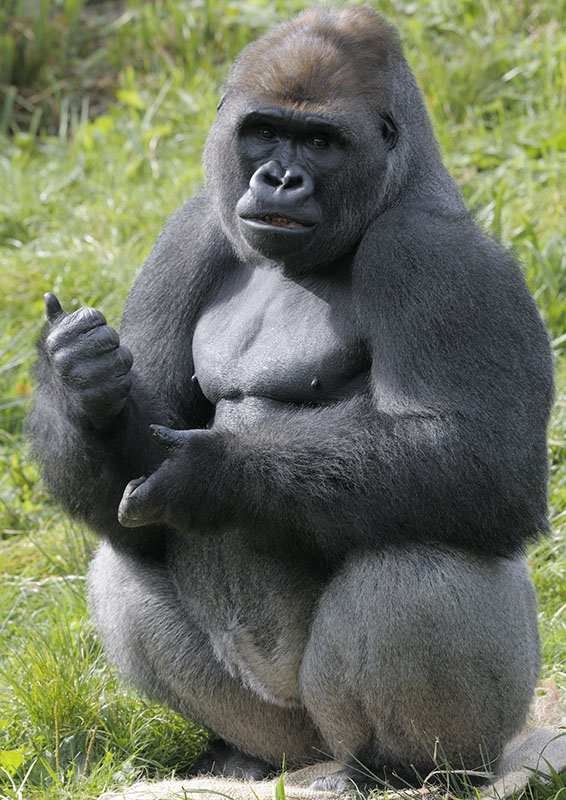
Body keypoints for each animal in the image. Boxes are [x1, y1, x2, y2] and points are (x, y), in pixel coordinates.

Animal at [28, 6, 553, 792]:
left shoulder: (435, 251)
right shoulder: (187, 230)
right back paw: (241, 755)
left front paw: (215, 474)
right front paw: (83, 386)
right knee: (121, 576)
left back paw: (401, 770)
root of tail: (312, 759)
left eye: (320, 141)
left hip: (453, 726)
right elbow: (134, 497)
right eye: (265, 131)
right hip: (286, 733)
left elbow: (484, 461)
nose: (280, 178)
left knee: (419, 564)